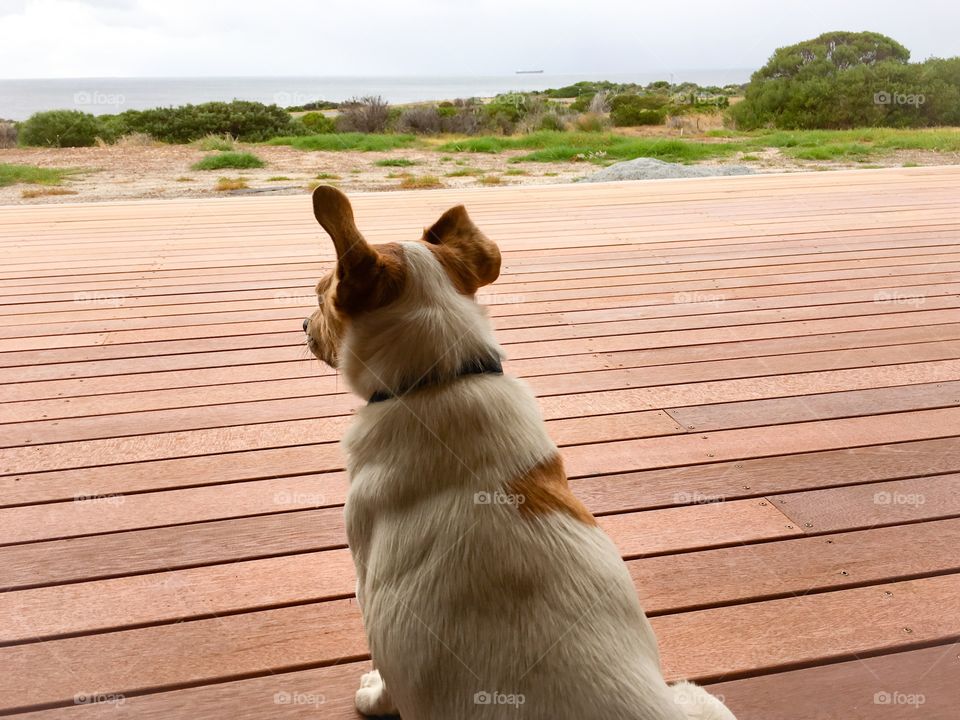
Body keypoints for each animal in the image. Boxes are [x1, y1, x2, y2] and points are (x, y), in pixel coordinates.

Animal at [304, 187, 740, 720]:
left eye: (319, 296)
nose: (301, 325)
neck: (441, 378)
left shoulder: (370, 588)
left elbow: (384, 672)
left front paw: (371, 694)